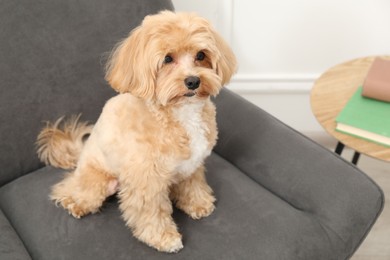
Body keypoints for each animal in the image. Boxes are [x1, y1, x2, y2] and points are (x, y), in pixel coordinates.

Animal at [38, 11, 236, 253]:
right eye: (167, 59)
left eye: (201, 55)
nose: (193, 81)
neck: (179, 113)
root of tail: (82, 152)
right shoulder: (145, 180)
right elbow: (151, 211)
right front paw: (164, 238)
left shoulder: (192, 164)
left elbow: (192, 184)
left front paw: (198, 203)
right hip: (98, 180)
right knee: (71, 190)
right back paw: (75, 203)